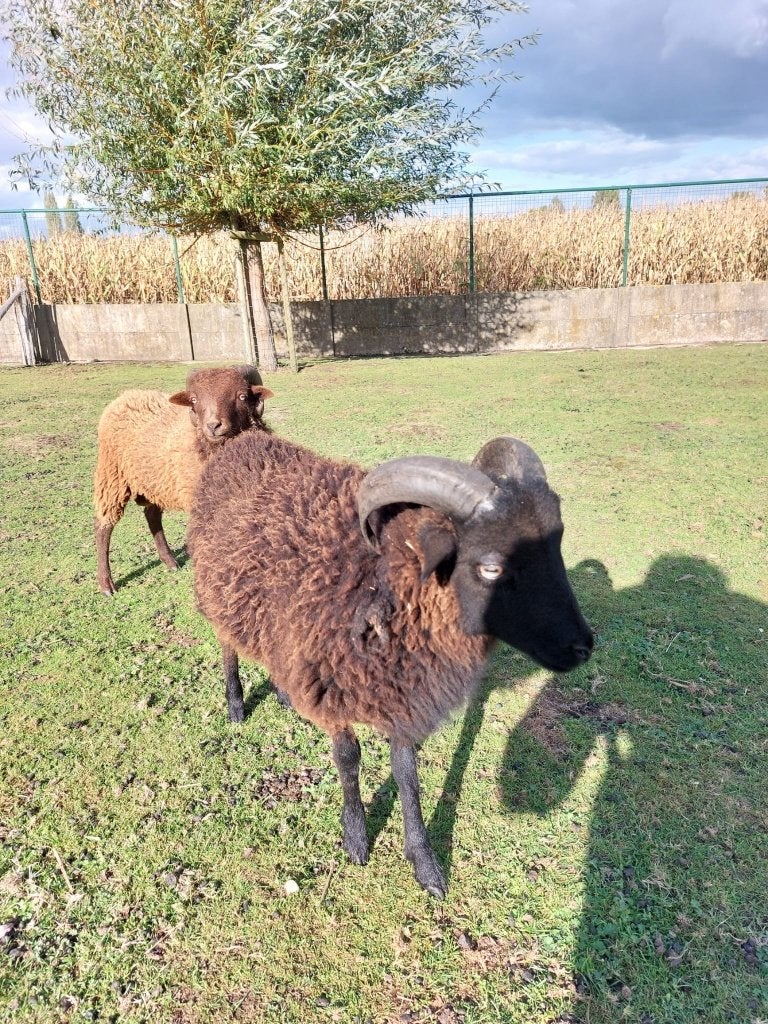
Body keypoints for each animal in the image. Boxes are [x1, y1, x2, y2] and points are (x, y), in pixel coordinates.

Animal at [94, 366, 273, 596]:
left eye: (242, 396)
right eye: (194, 399)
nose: (213, 425)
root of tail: (124, 396)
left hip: (155, 481)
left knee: (152, 516)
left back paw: (170, 562)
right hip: (112, 476)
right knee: (103, 525)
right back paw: (106, 585)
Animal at [187, 431, 593, 897]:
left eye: (556, 543)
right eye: (491, 567)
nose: (583, 647)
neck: (383, 582)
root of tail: (243, 441)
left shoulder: (403, 694)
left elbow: (406, 772)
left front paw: (424, 862)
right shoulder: (332, 688)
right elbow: (348, 758)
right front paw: (356, 836)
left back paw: (284, 694)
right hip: (220, 591)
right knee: (227, 645)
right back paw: (235, 704)